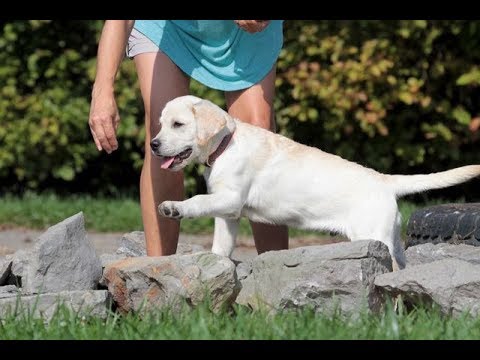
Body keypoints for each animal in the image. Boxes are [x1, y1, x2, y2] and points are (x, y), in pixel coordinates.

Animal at [151, 95, 480, 270]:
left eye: (178, 125)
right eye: (161, 124)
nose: (153, 145)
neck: (225, 144)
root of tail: (384, 181)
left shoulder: (230, 198)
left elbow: (197, 201)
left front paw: (174, 207)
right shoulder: (228, 212)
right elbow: (221, 244)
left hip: (373, 234)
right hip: (391, 238)